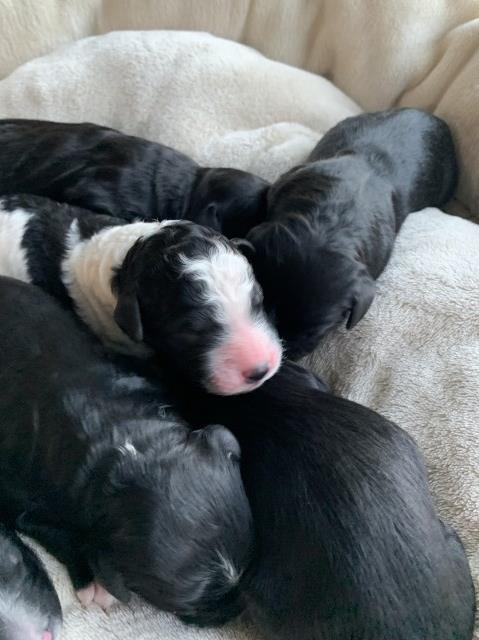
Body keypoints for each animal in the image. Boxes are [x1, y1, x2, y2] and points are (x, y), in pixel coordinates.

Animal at [0, 276, 255, 624]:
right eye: (187, 606)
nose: (235, 610)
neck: (126, 445)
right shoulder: (19, 500)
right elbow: (57, 534)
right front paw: (94, 584)